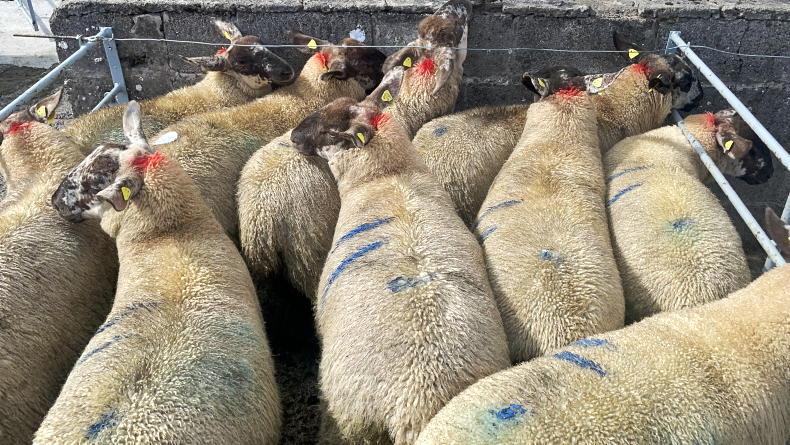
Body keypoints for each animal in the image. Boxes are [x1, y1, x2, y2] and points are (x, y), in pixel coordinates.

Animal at [238, 0, 471, 301]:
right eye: (456, 32)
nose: (457, 4)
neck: (407, 106)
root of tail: (260, 215)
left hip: (261, 270)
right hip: (308, 255)